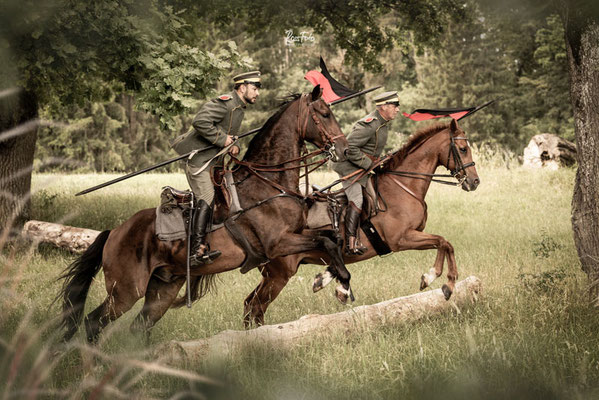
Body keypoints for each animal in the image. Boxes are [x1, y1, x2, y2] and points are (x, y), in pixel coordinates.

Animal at [56, 86, 352, 342]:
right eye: (325, 114)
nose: (345, 149)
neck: (268, 182)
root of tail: (114, 232)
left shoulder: (298, 235)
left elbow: (331, 240)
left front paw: (333, 279)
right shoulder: (278, 243)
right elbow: (326, 242)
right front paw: (337, 285)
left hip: (162, 288)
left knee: (139, 326)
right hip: (126, 291)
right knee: (93, 322)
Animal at [241, 119, 480, 328]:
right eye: (462, 149)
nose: (474, 181)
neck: (402, 185)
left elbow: (443, 243)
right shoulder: (401, 239)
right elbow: (444, 242)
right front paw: (442, 282)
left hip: (271, 274)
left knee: (250, 305)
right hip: (279, 275)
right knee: (256, 306)